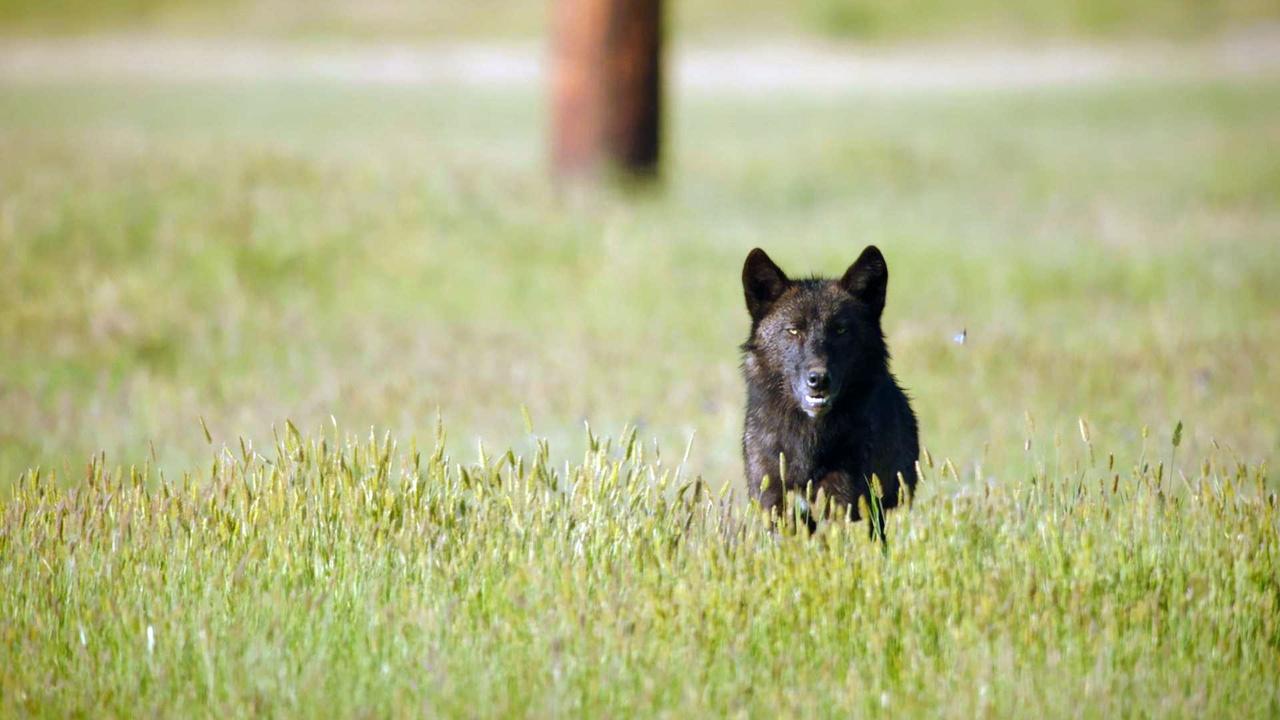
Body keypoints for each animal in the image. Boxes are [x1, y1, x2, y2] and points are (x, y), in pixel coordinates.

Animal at [742, 245, 921, 532]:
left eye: (840, 330)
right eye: (793, 330)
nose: (818, 379)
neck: (808, 440)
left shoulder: (844, 501)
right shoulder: (771, 497)